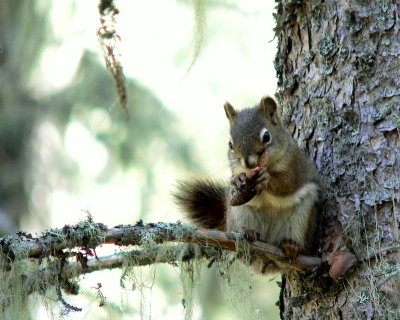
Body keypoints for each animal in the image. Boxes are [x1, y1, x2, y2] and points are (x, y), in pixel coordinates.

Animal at [174, 97, 322, 272]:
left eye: (266, 136)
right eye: (230, 144)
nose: (249, 163)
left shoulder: (295, 165)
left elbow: (287, 184)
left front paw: (267, 179)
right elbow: (236, 179)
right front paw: (237, 180)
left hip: (301, 217)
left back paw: (291, 246)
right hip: (239, 213)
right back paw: (247, 232)